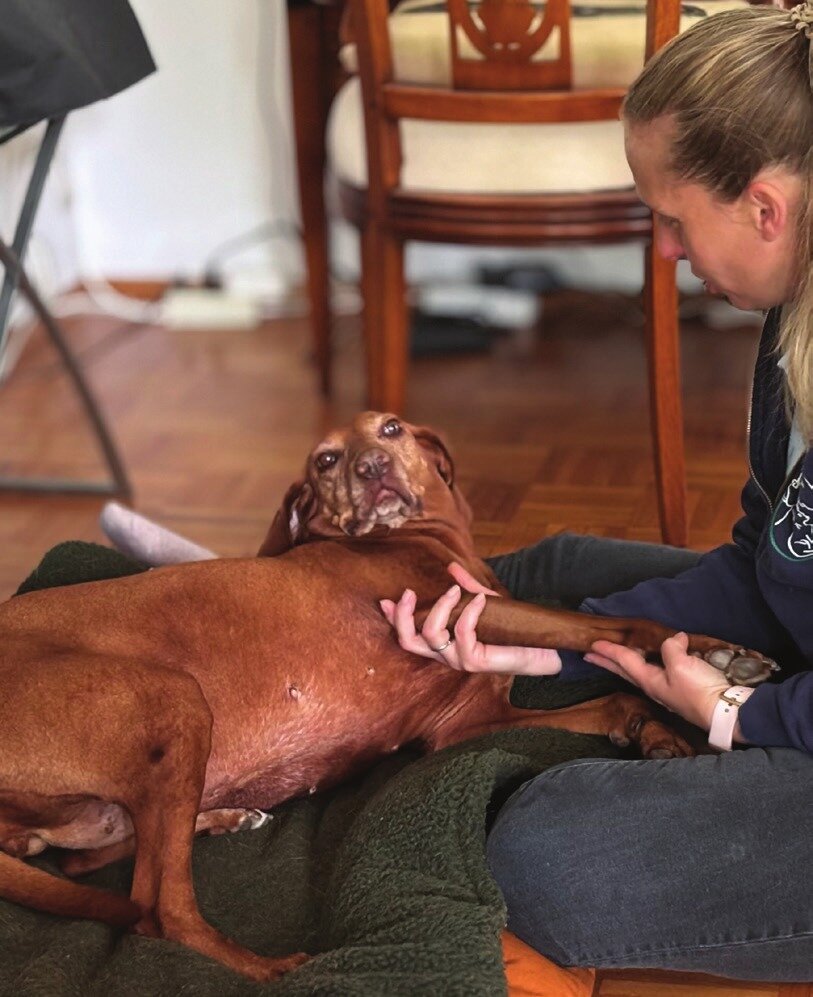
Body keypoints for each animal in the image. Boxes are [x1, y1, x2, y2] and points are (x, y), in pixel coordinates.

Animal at [0, 411, 775, 980]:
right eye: (324, 461)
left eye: (392, 428)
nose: (371, 468)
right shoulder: (463, 611)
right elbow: (603, 624)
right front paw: (710, 651)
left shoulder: (463, 723)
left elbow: (609, 698)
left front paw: (655, 728)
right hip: (173, 698)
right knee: (158, 910)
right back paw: (273, 967)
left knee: (92, 861)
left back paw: (223, 816)